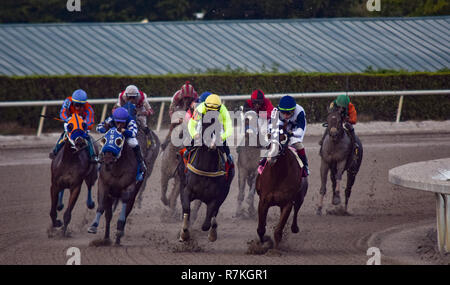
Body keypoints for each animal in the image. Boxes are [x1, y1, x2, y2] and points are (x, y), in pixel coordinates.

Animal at [179, 110, 236, 241]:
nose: (213, 144)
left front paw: (212, 234)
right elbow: (186, 209)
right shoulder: (186, 189)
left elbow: (208, 221)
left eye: (219, 125)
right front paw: (184, 234)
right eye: (205, 125)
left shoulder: (216, 197)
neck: (205, 167)